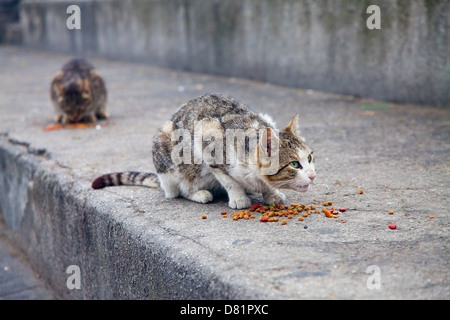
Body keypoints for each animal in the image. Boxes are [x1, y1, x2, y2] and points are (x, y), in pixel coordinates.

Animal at [92, 94, 316, 209]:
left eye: (310, 157)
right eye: (295, 164)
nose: (313, 175)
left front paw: (271, 193)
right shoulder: (207, 136)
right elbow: (229, 180)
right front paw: (239, 198)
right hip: (168, 156)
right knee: (177, 190)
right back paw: (199, 193)